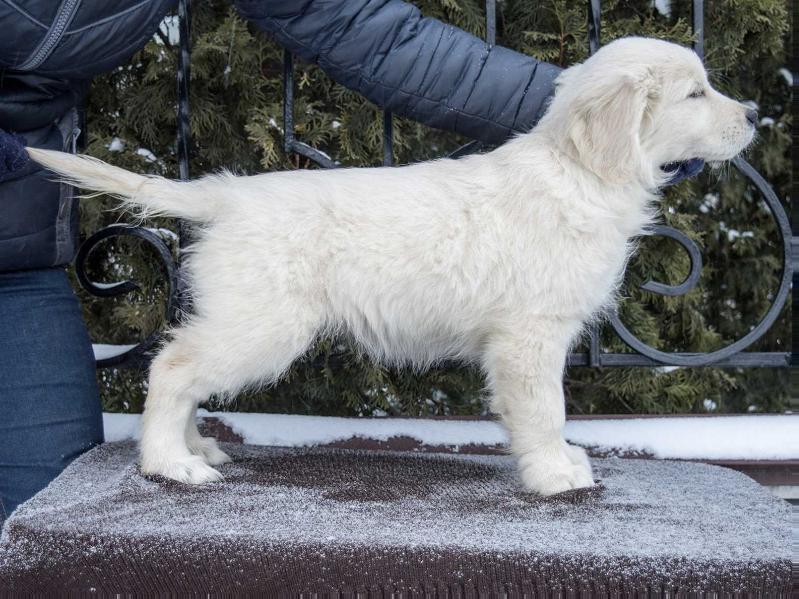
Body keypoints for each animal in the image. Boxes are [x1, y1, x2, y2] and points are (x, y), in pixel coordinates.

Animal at [29, 38, 756, 496]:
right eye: (695, 93)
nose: (753, 113)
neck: (580, 173)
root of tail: (227, 194)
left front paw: (557, 463)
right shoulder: (529, 335)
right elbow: (545, 409)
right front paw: (554, 473)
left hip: (239, 315)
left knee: (182, 364)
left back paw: (193, 446)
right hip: (265, 324)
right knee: (172, 367)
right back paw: (168, 464)